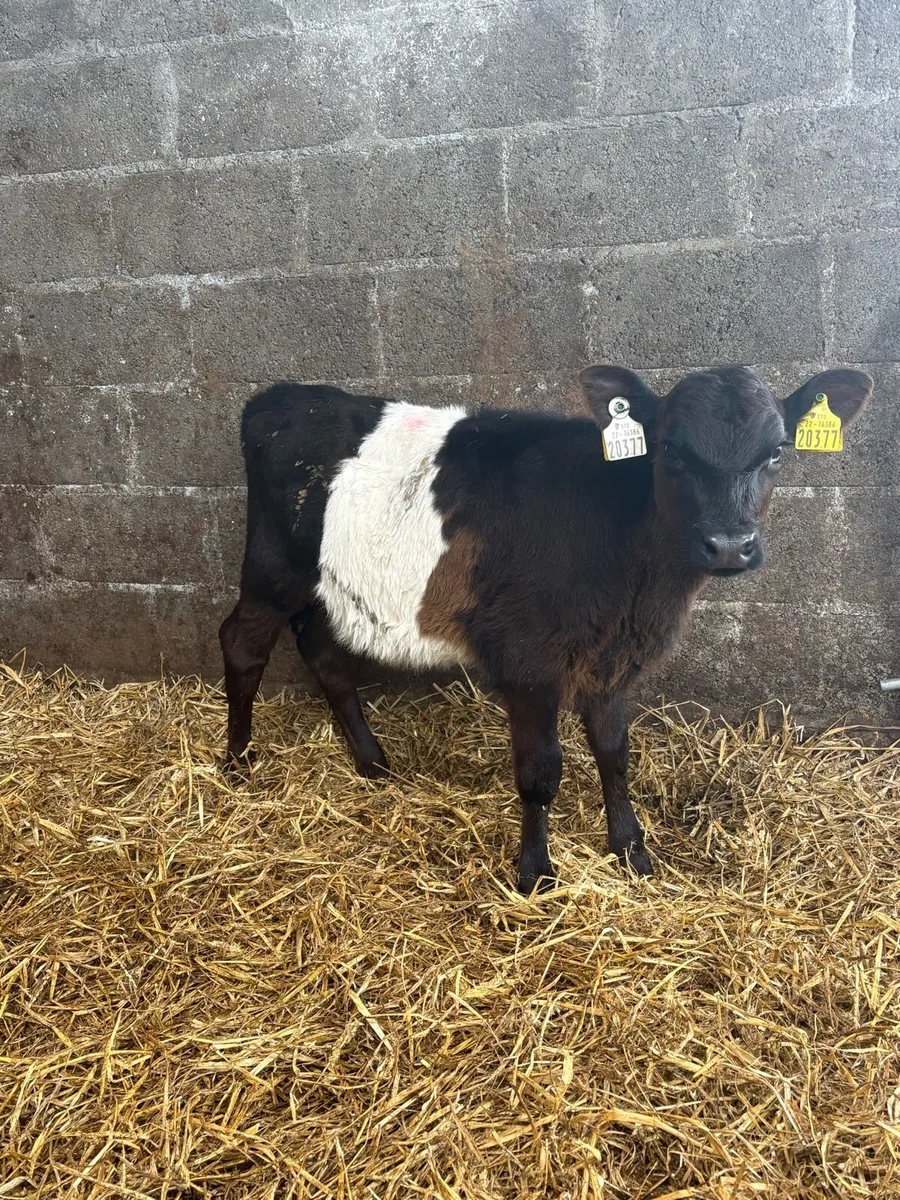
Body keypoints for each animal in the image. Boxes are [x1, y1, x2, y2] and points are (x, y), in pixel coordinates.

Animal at [219, 365, 872, 893]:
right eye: (671, 449)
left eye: (778, 451)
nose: (730, 545)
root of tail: (279, 397)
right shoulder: (528, 661)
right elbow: (539, 773)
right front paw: (535, 874)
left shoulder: (611, 658)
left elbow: (614, 753)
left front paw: (631, 850)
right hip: (274, 569)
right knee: (242, 643)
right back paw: (237, 764)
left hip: (322, 582)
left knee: (322, 652)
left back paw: (372, 762)